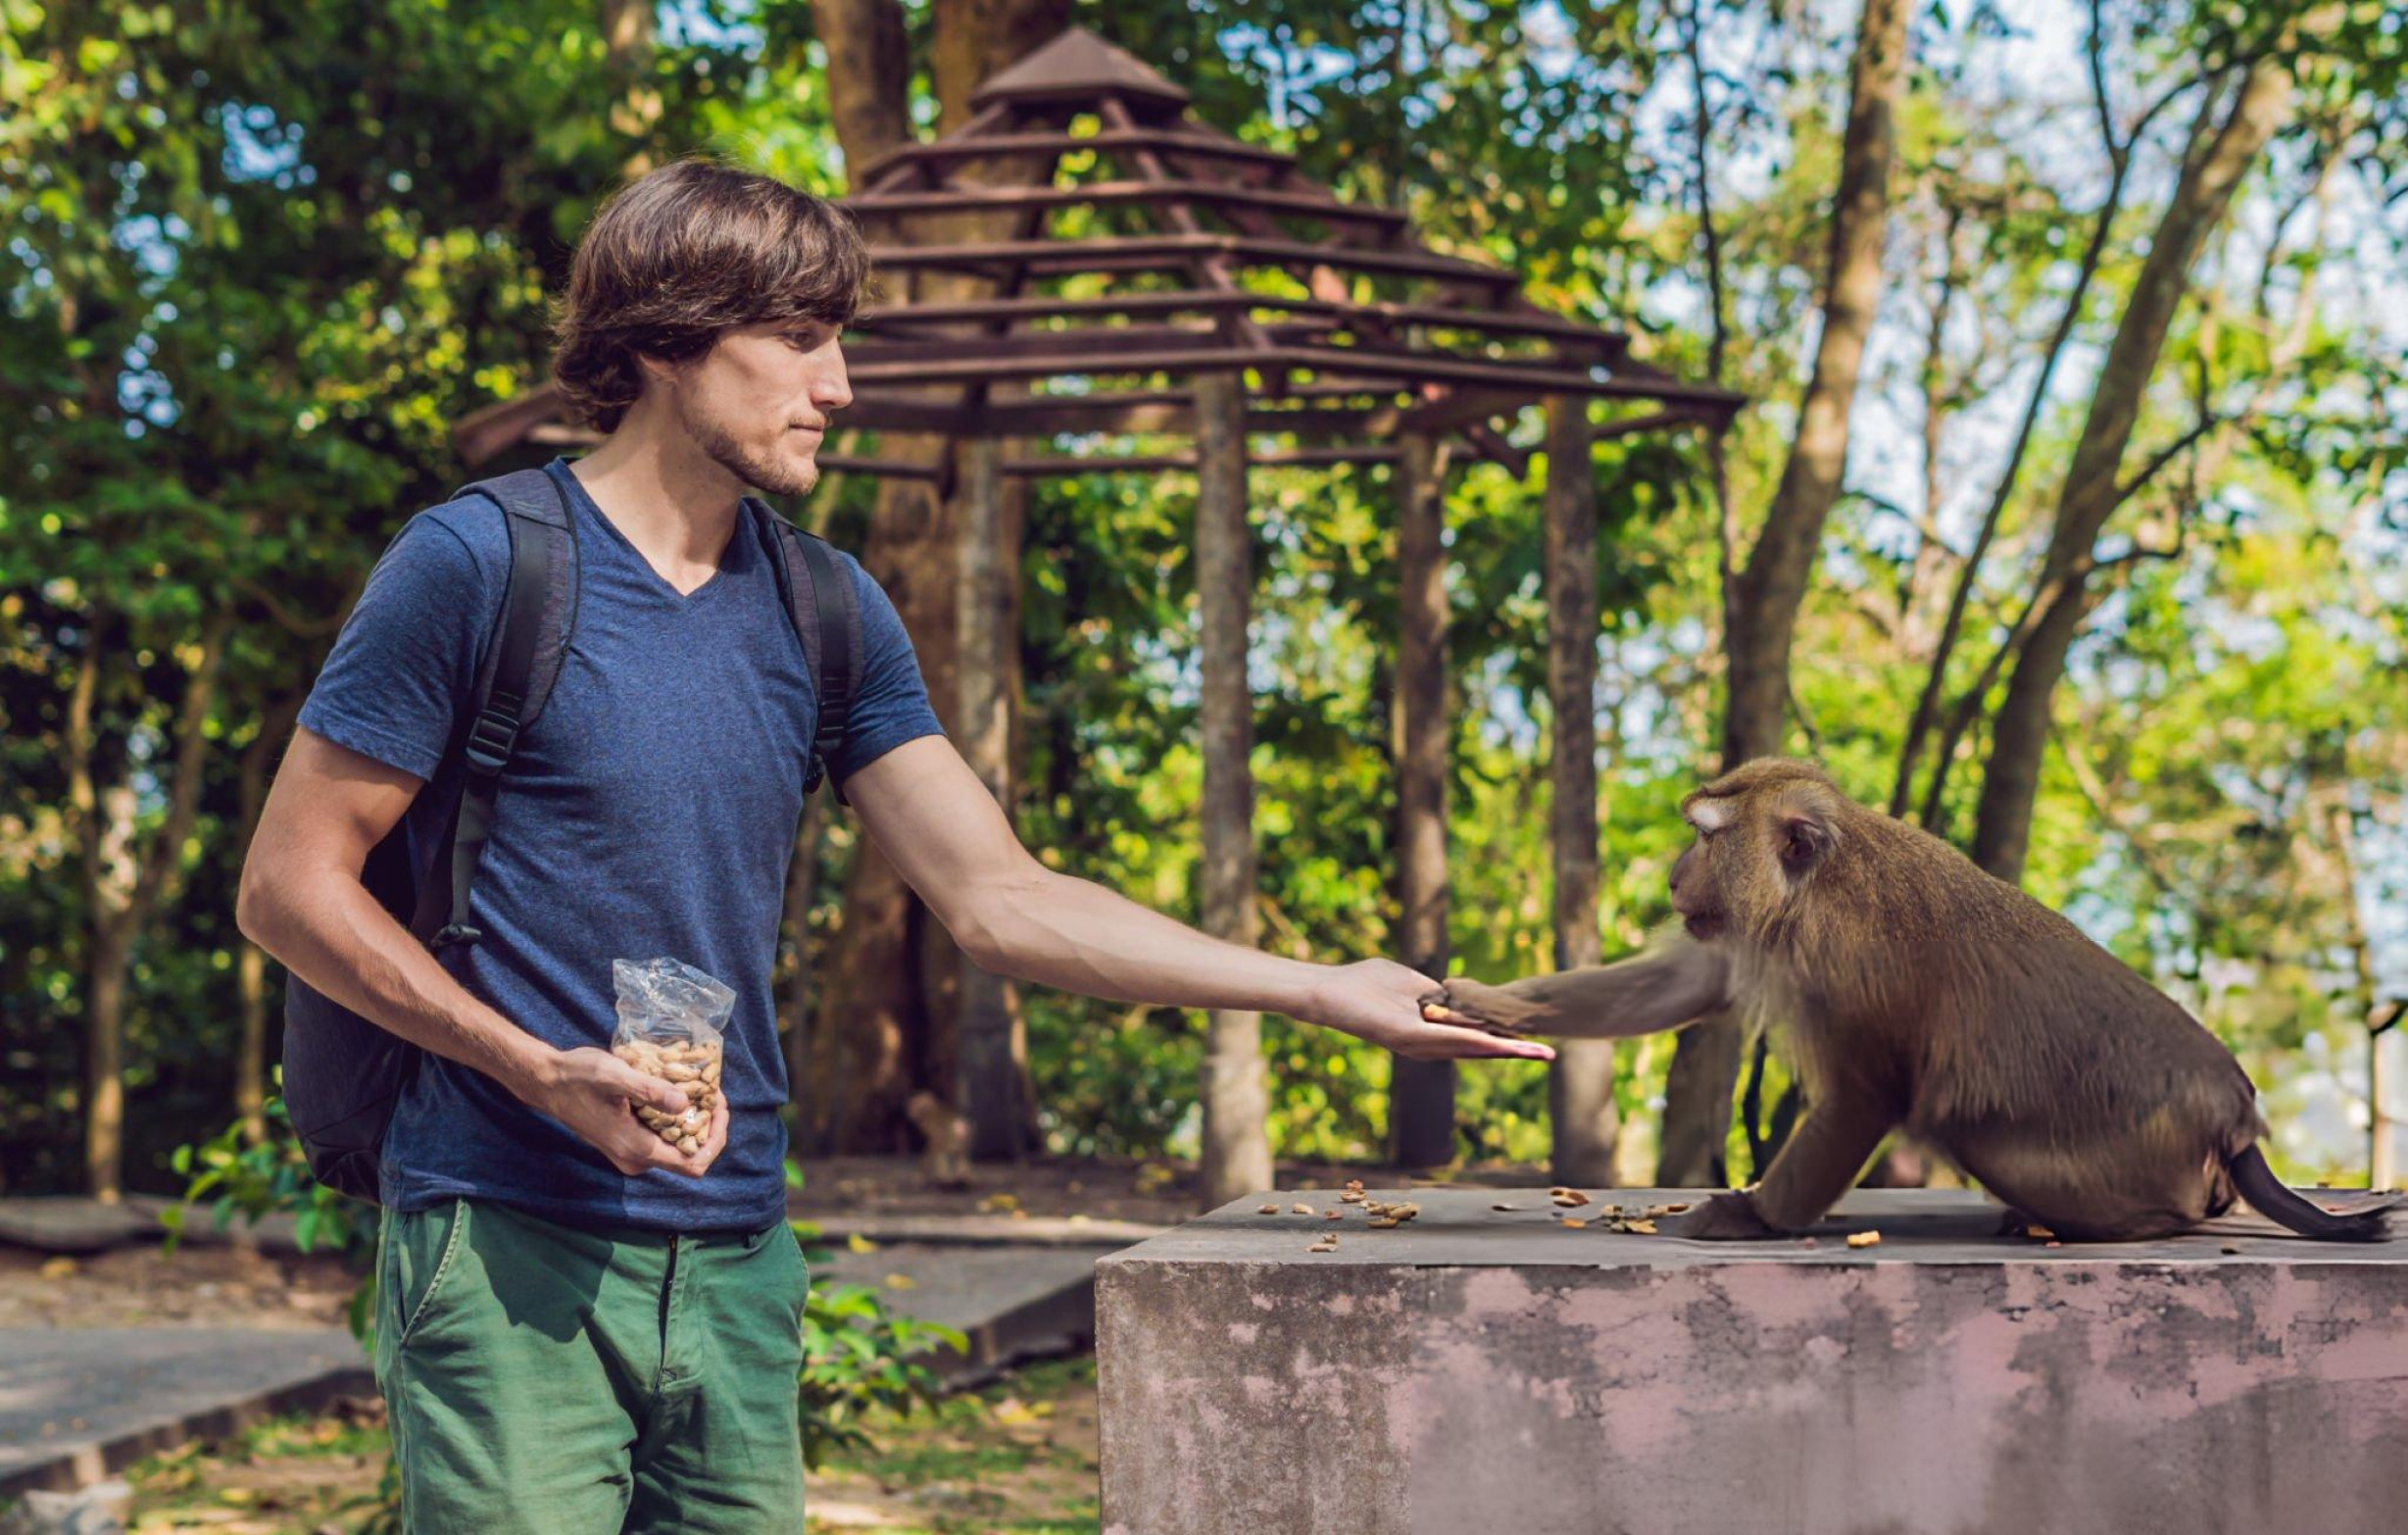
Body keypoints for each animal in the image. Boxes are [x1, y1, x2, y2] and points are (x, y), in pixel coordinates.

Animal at [1415, 756, 2398, 1243]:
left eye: (1705, 837)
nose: (1670, 875)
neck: (1815, 889)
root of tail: (2233, 1117)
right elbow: (1675, 985)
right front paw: (1481, 1003)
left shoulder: (1855, 969)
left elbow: (1867, 1093)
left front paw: (1757, 1215)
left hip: (2139, 1151)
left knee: (1972, 1121)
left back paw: (2140, 1224)